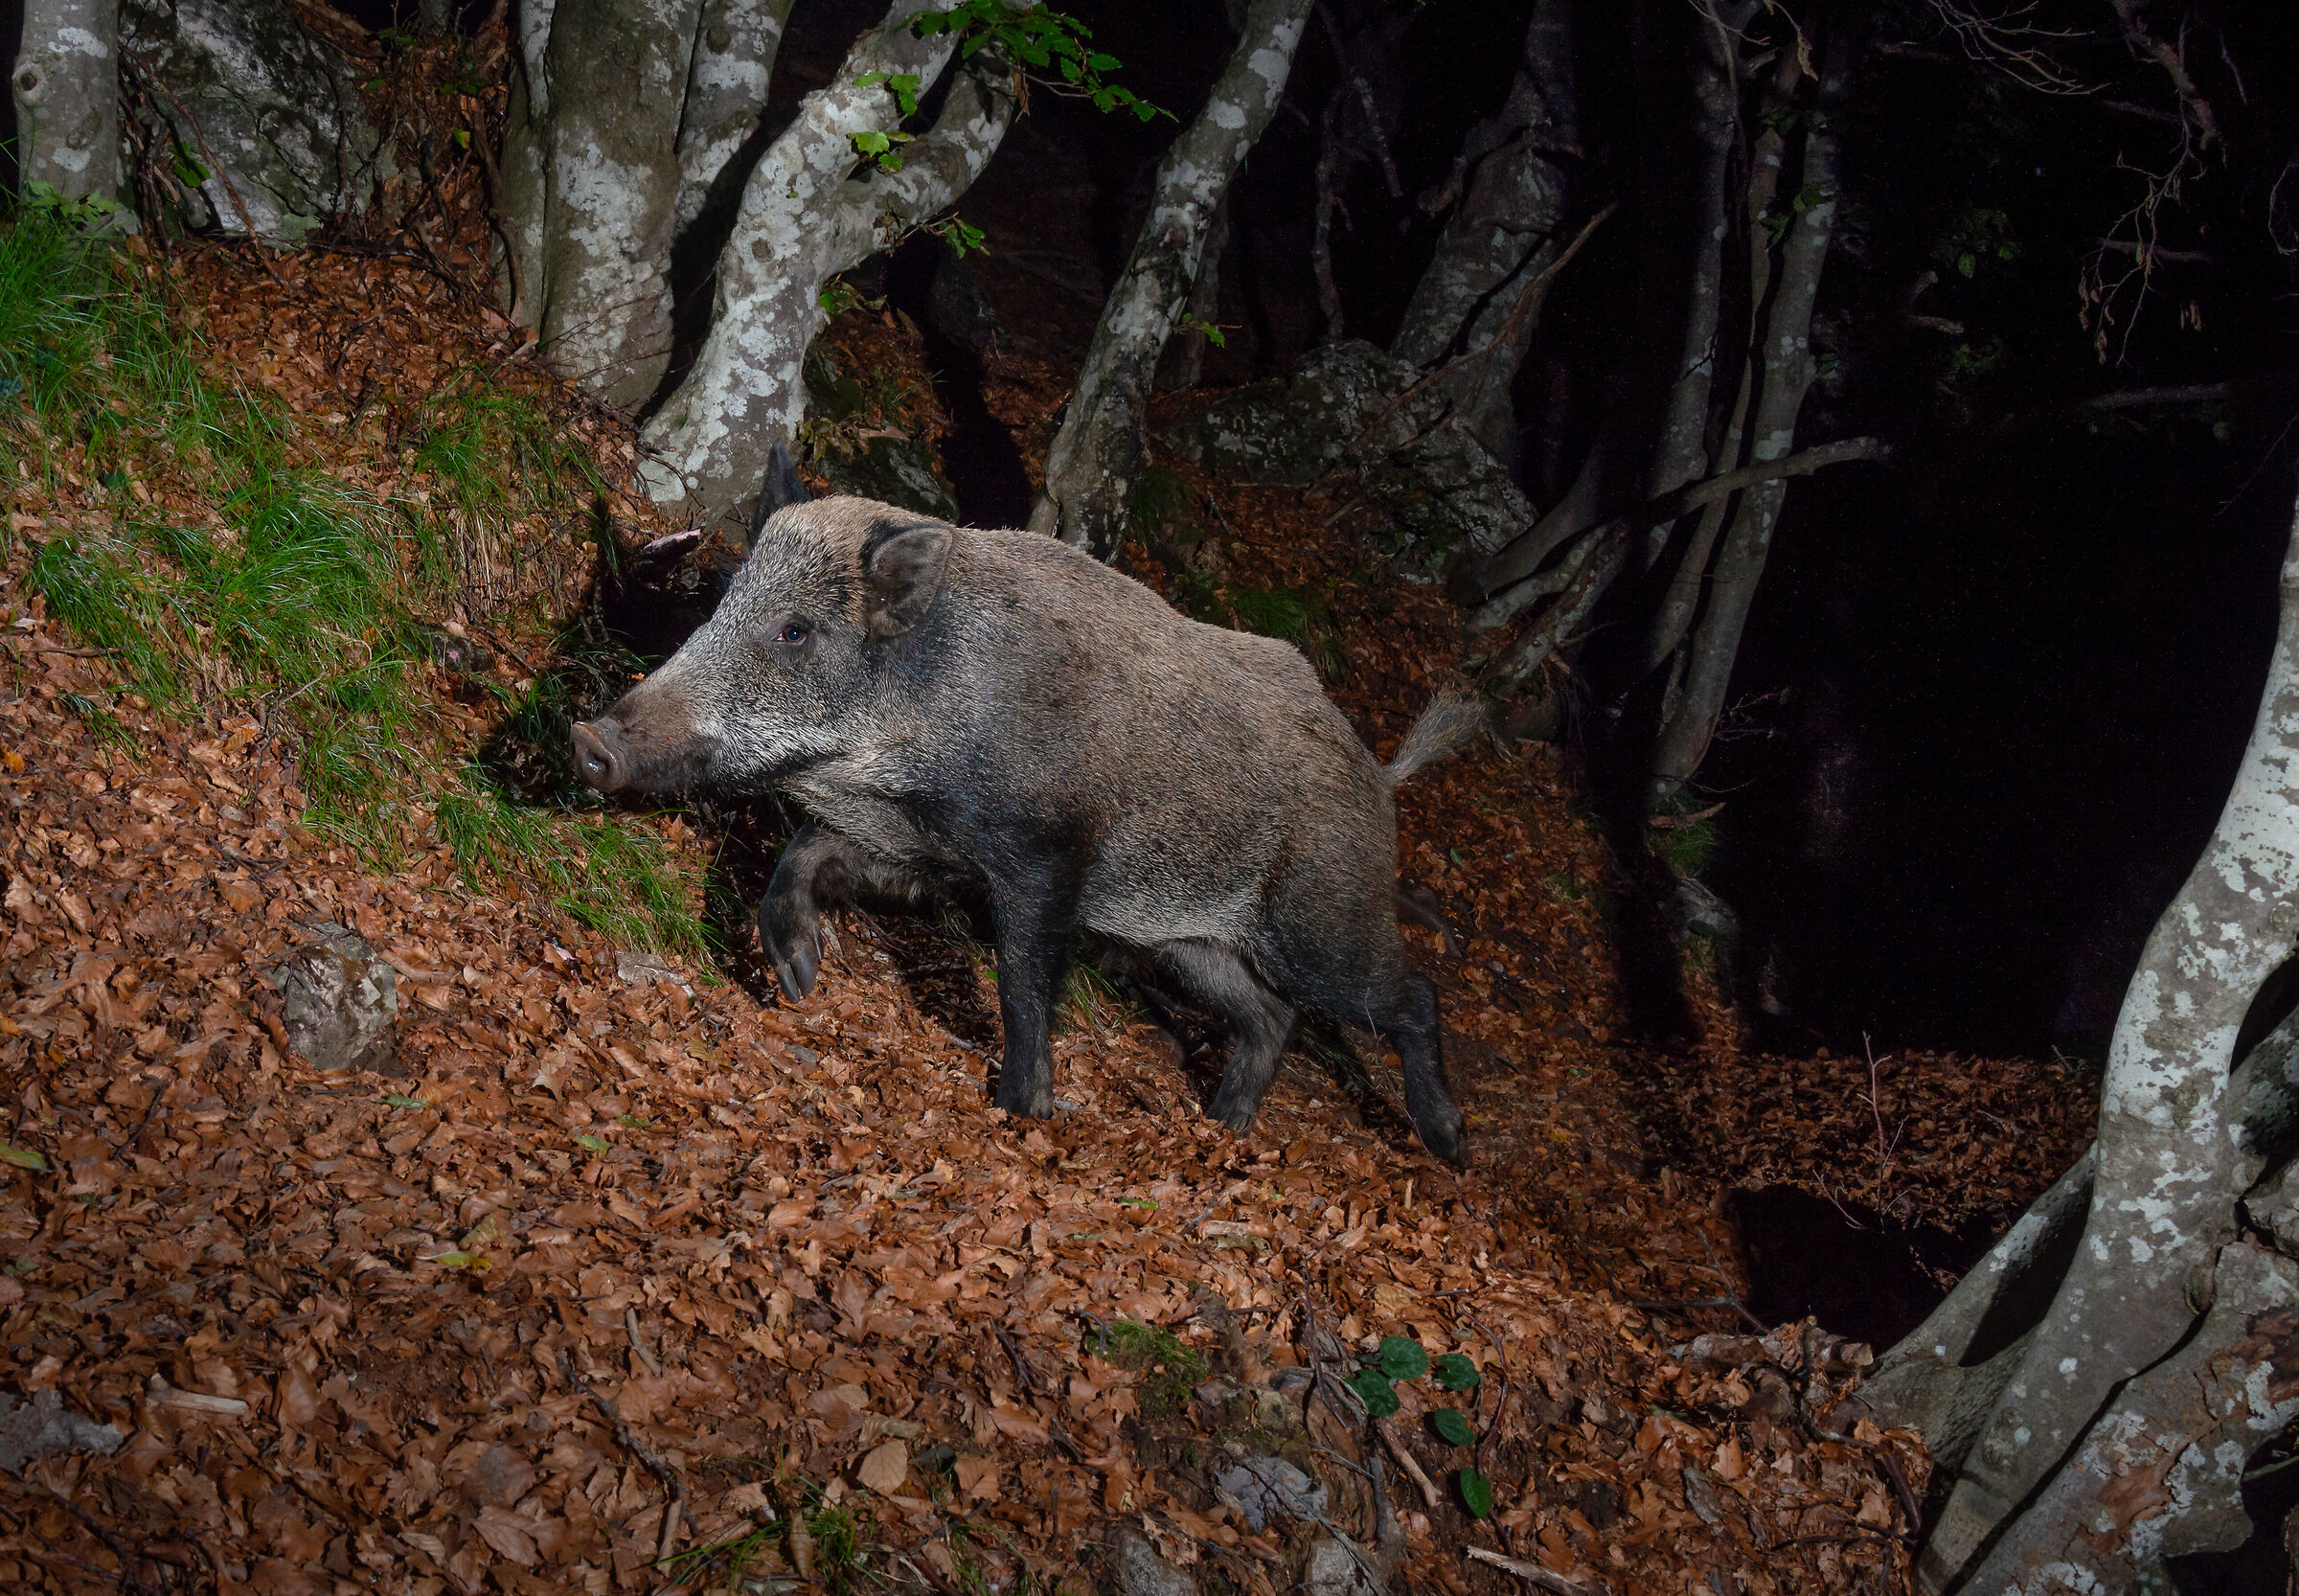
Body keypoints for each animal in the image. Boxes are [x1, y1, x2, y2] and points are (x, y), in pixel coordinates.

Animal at [571, 492, 1480, 1165]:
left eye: (795, 630)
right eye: (721, 602)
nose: (589, 740)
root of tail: (1380, 775)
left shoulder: (1045, 857)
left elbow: (1022, 978)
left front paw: (1023, 1112)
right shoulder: (920, 852)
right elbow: (804, 852)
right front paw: (798, 981)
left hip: (1320, 923)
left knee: (1408, 997)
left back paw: (1449, 1148)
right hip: (1190, 940)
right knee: (1268, 1017)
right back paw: (1219, 1129)